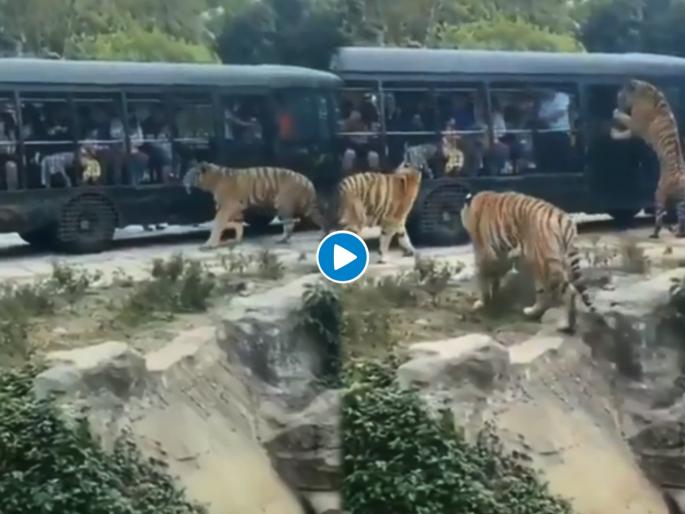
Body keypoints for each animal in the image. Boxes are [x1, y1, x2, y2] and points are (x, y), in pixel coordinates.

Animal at [183, 162, 327, 249]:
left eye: (189, 174)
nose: (182, 180)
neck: (212, 180)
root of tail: (308, 181)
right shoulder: (235, 209)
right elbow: (235, 224)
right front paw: (235, 239)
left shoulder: (228, 206)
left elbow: (218, 224)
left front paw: (209, 244)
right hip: (306, 206)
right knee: (319, 219)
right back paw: (321, 234)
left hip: (283, 204)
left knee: (290, 224)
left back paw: (283, 240)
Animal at [460, 190, 596, 333]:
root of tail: (563, 219)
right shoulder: (501, 256)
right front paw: (494, 292)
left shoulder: (484, 252)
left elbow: (481, 276)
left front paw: (481, 301)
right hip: (543, 265)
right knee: (543, 293)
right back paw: (532, 312)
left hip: (546, 265)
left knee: (570, 292)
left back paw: (565, 325)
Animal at [611, 78, 685, 238]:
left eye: (620, 94)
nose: (617, 97)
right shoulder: (635, 129)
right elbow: (625, 132)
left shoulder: (636, 124)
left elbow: (624, 120)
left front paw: (615, 117)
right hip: (681, 202)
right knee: (682, 219)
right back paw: (677, 232)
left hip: (659, 193)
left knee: (659, 217)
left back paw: (656, 233)